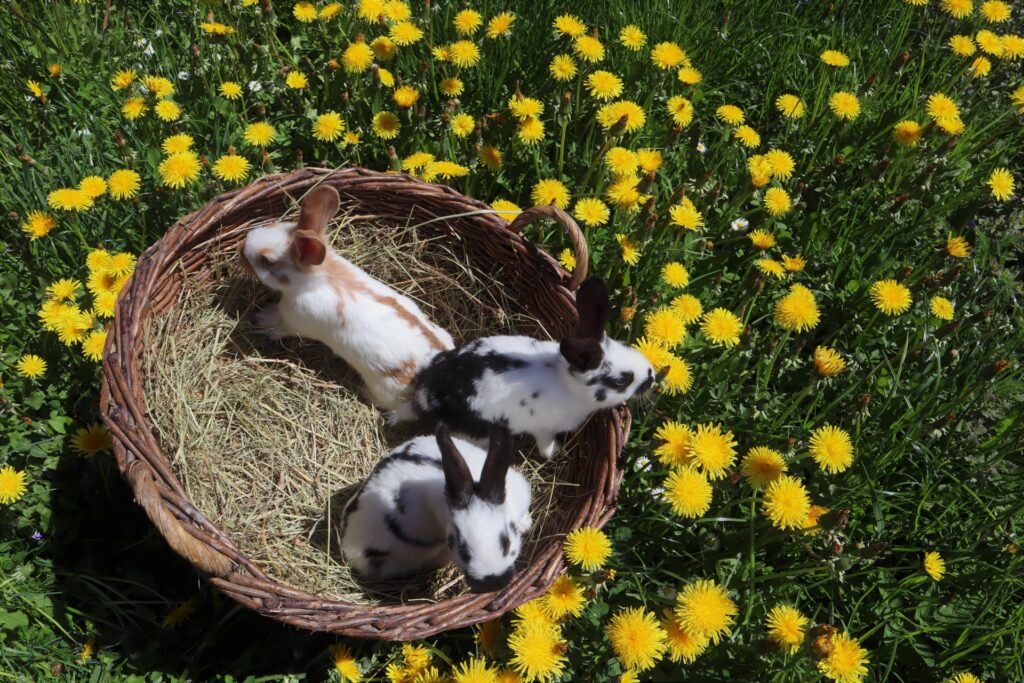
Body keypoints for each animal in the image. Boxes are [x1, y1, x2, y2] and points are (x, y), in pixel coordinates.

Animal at [238, 184, 452, 409]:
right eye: (273, 224)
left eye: (267, 260)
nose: (240, 248)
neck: (317, 279)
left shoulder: (294, 323)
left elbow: (279, 326)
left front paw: (262, 320)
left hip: (386, 390)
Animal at [393, 278, 655, 458]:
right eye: (621, 381)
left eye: (627, 346)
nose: (652, 377)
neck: (566, 382)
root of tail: (426, 397)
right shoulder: (544, 428)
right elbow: (545, 444)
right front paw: (554, 452)